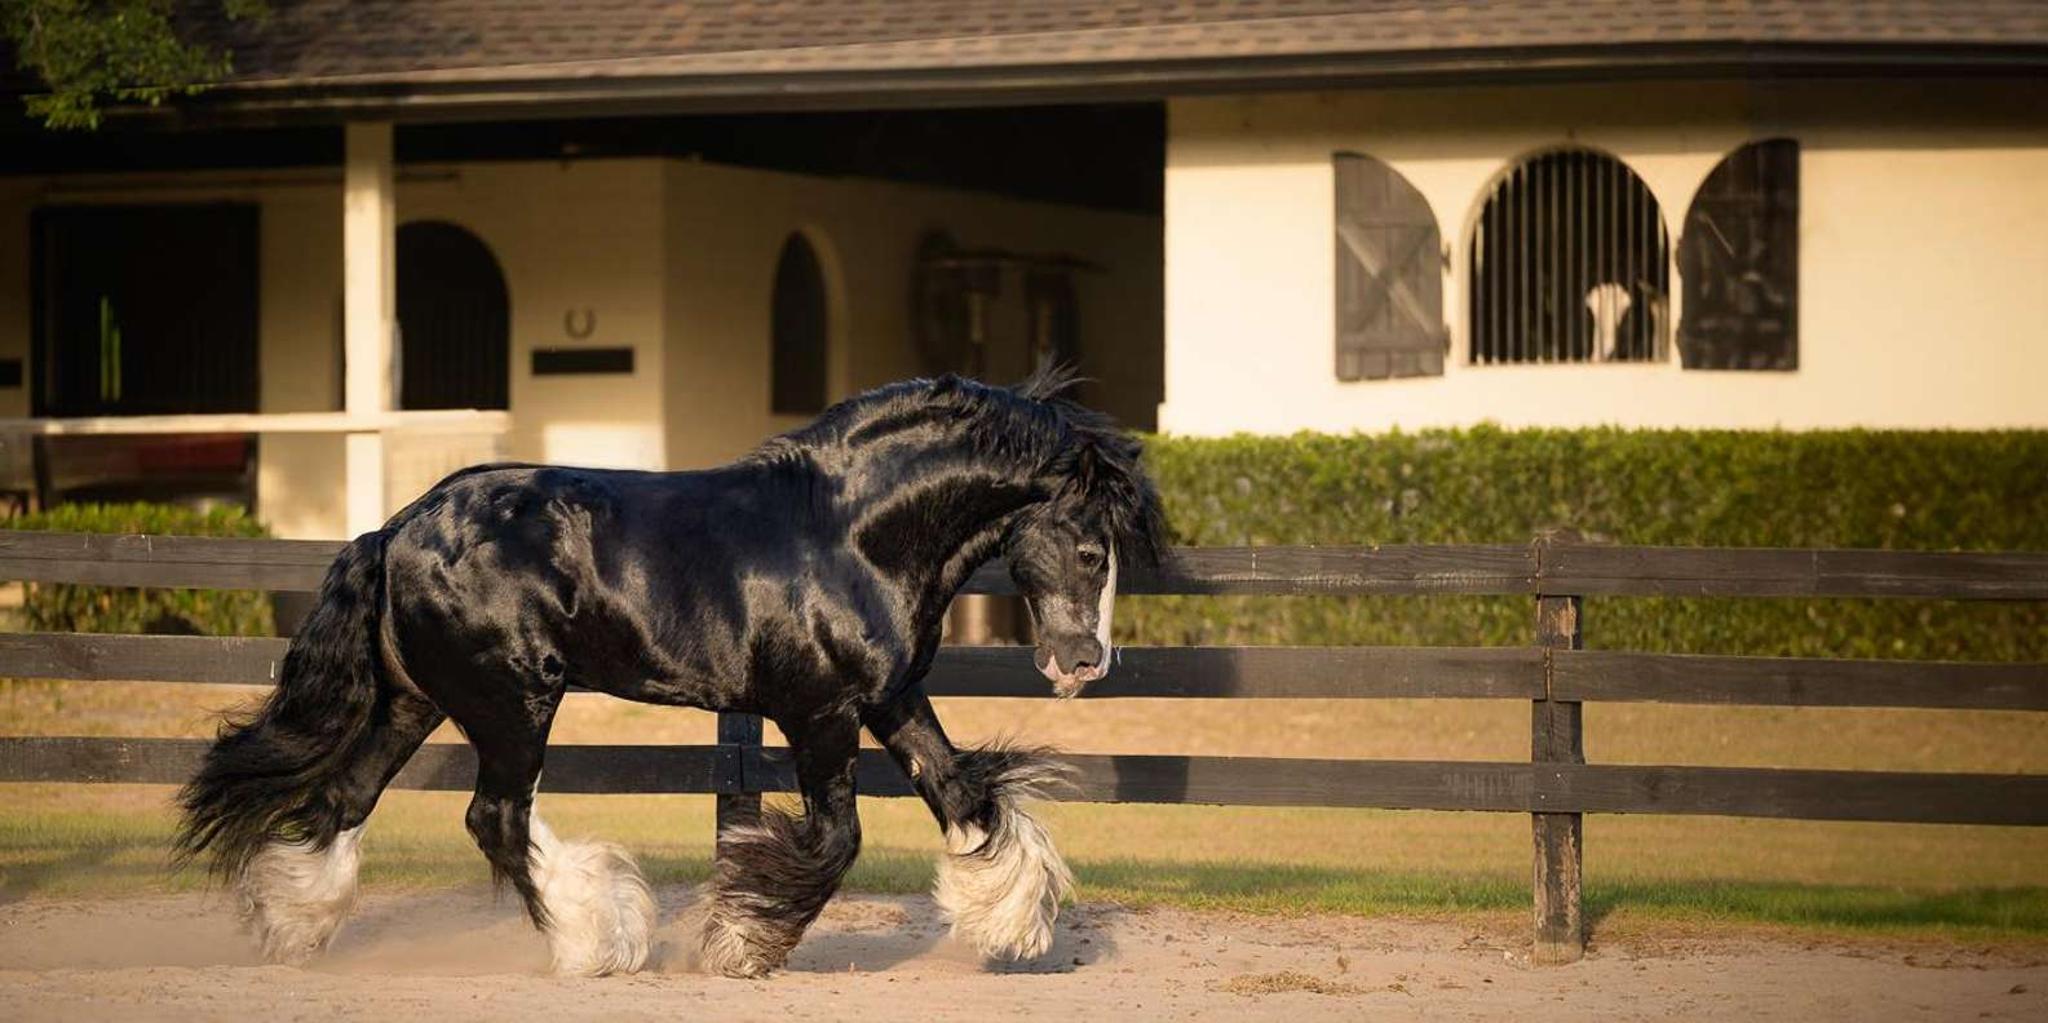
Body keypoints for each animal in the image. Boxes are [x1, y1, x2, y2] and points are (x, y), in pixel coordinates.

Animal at [173, 369, 1167, 979]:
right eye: (1090, 549)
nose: (1083, 663)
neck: (852, 535)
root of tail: (394, 529)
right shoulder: (820, 713)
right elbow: (837, 839)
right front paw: (740, 944)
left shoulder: (890, 698)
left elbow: (968, 795)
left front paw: (1014, 925)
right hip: (514, 700)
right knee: (496, 816)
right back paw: (597, 939)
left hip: (416, 702)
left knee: (347, 797)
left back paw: (292, 927)